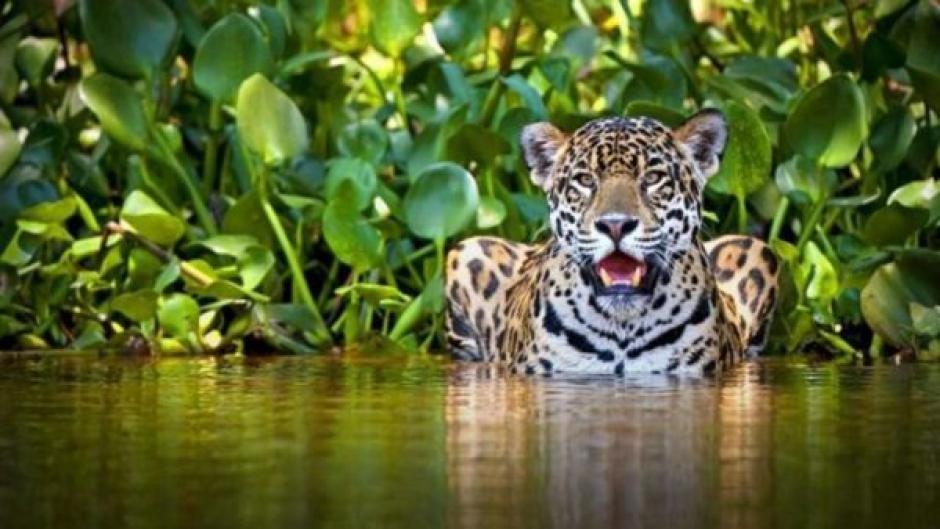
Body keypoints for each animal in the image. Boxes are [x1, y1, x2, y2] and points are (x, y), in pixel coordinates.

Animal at [444, 110, 779, 375]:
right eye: (584, 180)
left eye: (653, 178)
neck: (622, 328)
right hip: (467, 249)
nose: (615, 225)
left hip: (755, 248)